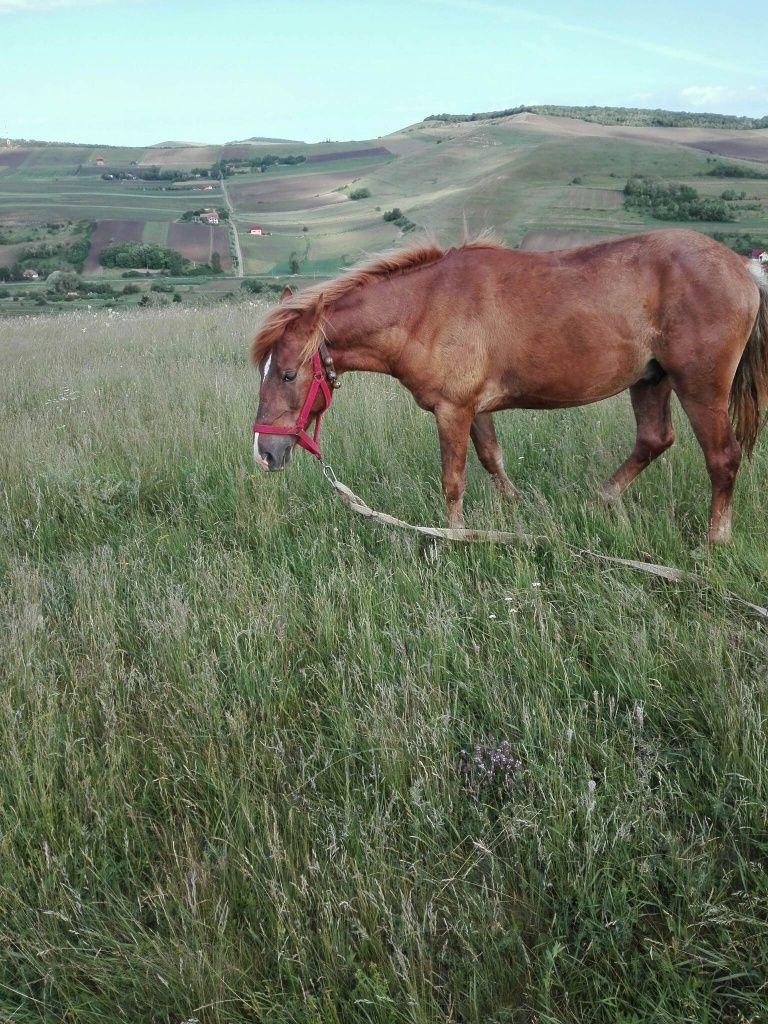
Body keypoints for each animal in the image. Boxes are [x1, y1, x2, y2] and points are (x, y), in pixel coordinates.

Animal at [249, 231, 765, 544]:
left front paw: (453, 538)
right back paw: (603, 499)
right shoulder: (475, 407)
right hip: (650, 380)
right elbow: (492, 459)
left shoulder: (452, 410)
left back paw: (714, 540)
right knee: (654, 440)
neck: (425, 309)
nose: (264, 453)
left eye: (288, 374)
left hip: (699, 387)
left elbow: (453, 480)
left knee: (723, 457)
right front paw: (517, 509)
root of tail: (743, 269)